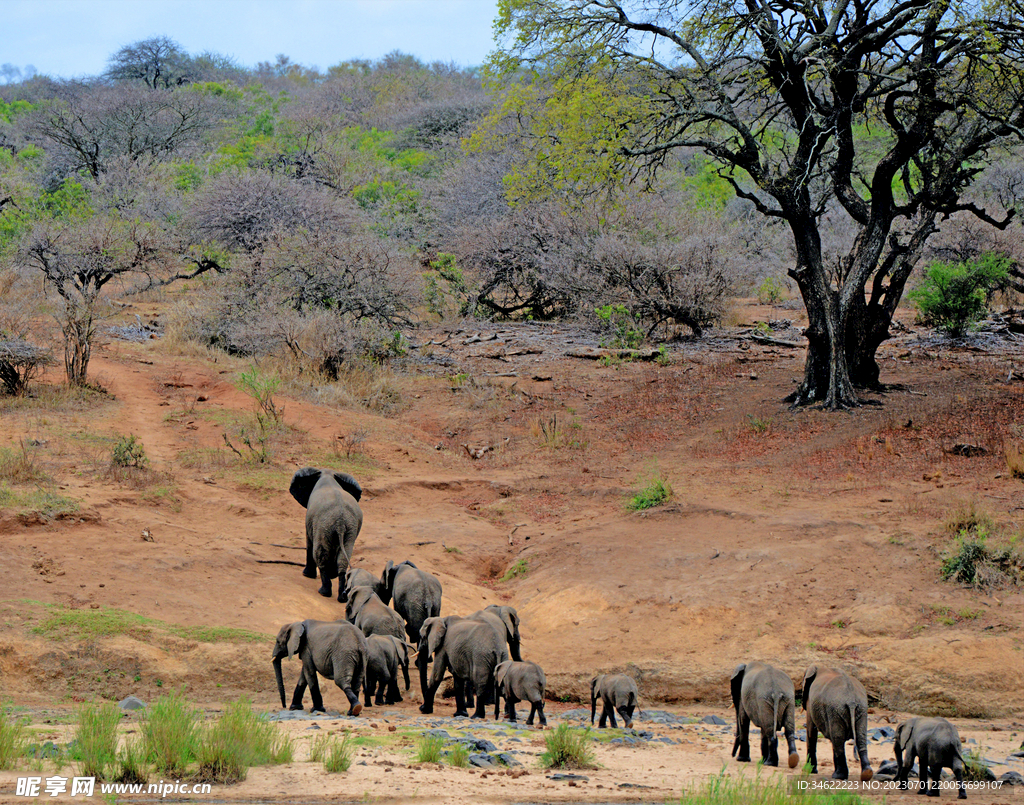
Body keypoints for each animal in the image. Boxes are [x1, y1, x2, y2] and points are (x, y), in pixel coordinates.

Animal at [288, 464, 364, 602]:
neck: (328, 475)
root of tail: (340, 521)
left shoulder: (310, 520)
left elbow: (309, 542)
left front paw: (306, 575)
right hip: (349, 528)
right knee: (343, 558)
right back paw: (342, 598)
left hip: (324, 524)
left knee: (320, 554)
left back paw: (324, 592)